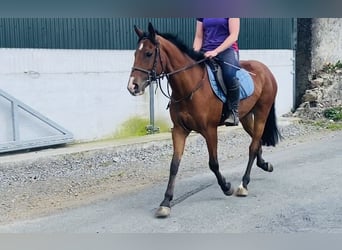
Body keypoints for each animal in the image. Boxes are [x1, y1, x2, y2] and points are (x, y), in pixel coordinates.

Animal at [127, 22, 280, 218]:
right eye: (135, 54)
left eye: (148, 53)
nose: (132, 86)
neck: (189, 88)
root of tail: (265, 70)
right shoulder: (179, 130)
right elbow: (174, 165)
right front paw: (166, 202)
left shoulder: (210, 130)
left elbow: (213, 163)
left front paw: (226, 187)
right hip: (245, 117)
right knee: (257, 140)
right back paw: (265, 165)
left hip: (262, 113)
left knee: (253, 146)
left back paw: (243, 185)